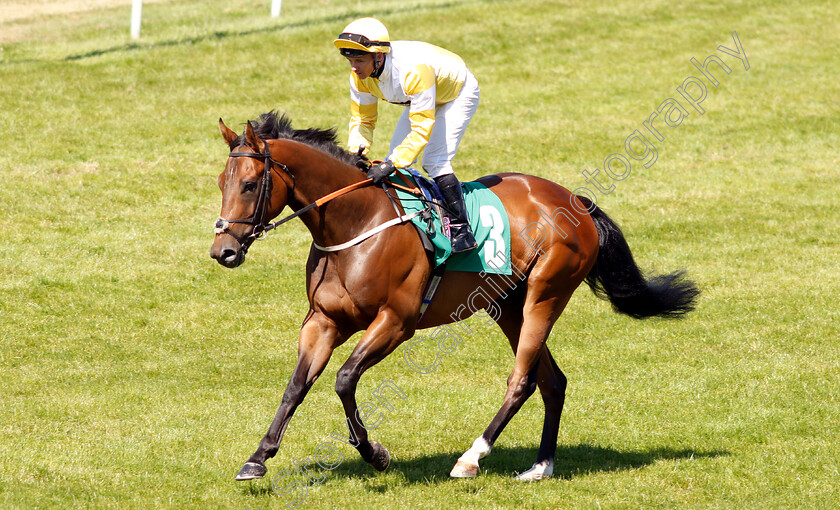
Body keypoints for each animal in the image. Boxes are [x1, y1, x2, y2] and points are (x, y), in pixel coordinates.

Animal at [210, 110, 704, 482]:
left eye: (250, 184)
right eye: (220, 182)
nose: (223, 251)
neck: (356, 223)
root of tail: (577, 202)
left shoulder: (396, 322)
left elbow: (345, 379)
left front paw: (375, 452)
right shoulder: (323, 321)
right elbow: (296, 386)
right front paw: (257, 458)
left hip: (545, 294)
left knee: (521, 379)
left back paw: (472, 457)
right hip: (506, 305)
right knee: (552, 381)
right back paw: (540, 466)